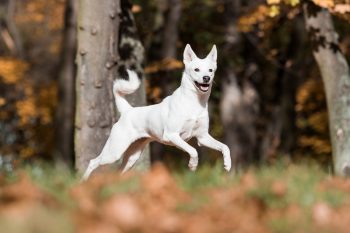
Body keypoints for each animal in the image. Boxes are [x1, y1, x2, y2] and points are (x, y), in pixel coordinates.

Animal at [81, 45, 230, 180]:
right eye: (196, 69)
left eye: (210, 70)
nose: (206, 78)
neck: (194, 103)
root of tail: (127, 110)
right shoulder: (172, 135)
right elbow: (193, 151)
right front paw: (193, 165)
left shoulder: (202, 137)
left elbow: (225, 147)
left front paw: (227, 164)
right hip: (114, 151)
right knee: (93, 162)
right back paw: (83, 182)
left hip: (132, 157)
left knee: (118, 171)